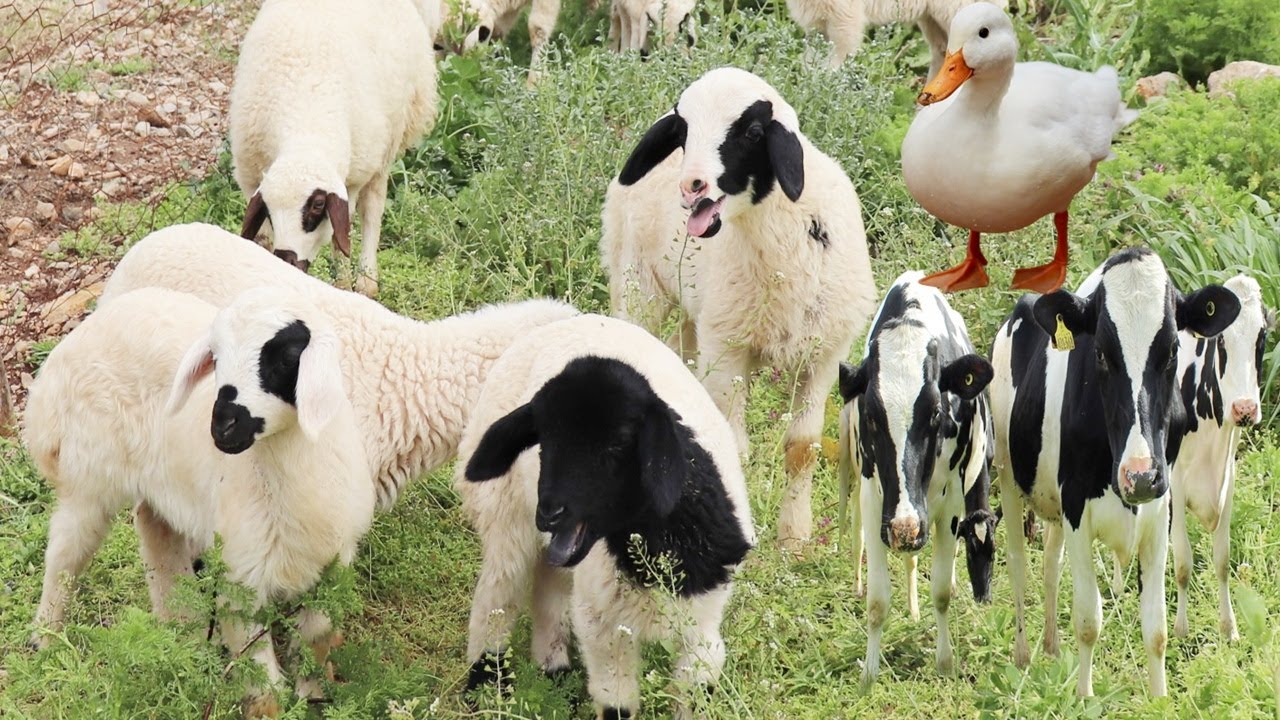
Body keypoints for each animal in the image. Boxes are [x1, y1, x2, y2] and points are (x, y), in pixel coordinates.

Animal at [837, 271, 996, 684]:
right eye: (871, 416)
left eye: (936, 412)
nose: (905, 528)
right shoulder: (877, 503)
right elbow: (878, 599)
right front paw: (870, 674)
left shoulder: (949, 505)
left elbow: (940, 590)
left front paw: (944, 662)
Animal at [990, 246, 1240, 697]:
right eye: (1101, 354)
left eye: (1172, 350)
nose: (1139, 476)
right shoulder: (1076, 507)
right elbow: (1089, 619)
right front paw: (1085, 697)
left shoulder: (1159, 507)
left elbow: (1156, 627)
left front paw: (1159, 699)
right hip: (1007, 473)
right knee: (1019, 564)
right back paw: (1023, 656)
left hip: (1052, 503)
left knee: (1050, 565)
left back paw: (1052, 648)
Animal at [1171, 273, 1274, 640]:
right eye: (1222, 342)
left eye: (1262, 337)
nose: (1244, 409)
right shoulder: (1173, 482)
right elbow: (1183, 563)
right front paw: (1180, 631)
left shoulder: (1227, 478)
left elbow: (1222, 560)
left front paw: (1229, 629)